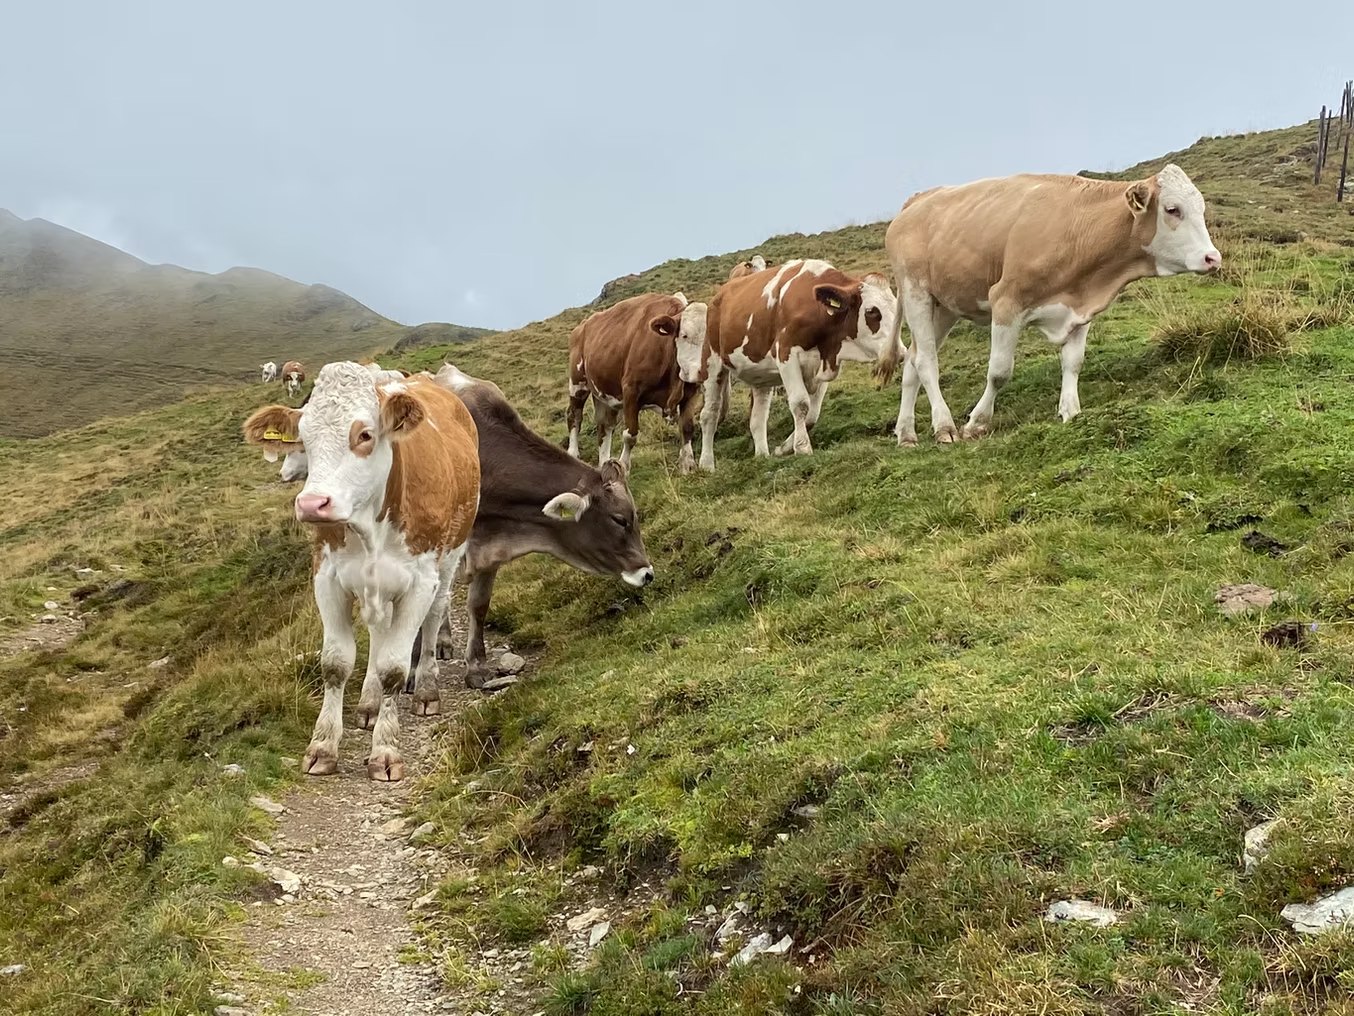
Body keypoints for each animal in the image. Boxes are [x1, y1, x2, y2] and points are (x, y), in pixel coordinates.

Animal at [243, 362, 480, 782]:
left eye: (365, 434)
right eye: (303, 439)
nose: (312, 504)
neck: (368, 526)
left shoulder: (420, 581)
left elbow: (394, 667)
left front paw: (385, 751)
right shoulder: (327, 577)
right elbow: (335, 663)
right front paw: (323, 747)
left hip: (450, 557)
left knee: (435, 615)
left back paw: (426, 690)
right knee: (378, 630)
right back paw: (369, 704)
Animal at [408, 363, 655, 686]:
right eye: (619, 519)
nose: (647, 574)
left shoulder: (491, 546)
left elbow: (479, 604)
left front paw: (476, 666)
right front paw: (412, 669)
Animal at [566, 291, 708, 474]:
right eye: (685, 335)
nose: (703, 370)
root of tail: (582, 325)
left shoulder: (690, 392)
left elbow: (687, 427)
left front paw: (687, 466)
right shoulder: (631, 391)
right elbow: (630, 434)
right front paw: (624, 466)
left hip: (604, 393)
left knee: (604, 426)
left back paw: (604, 463)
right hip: (578, 382)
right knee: (574, 416)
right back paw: (573, 452)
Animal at [682, 259, 897, 472]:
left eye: (897, 308)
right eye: (872, 311)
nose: (899, 352)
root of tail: (720, 294)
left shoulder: (825, 365)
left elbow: (812, 414)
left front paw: (783, 448)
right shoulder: (786, 355)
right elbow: (800, 404)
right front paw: (802, 447)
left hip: (761, 378)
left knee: (758, 418)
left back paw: (762, 456)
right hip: (713, 363)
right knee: (709, 413)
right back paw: (706, 463)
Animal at [877, 164, 1221, 446]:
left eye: (1201, 208)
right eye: (1172, 209)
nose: (1212, 257)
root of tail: (916, 201)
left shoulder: (1080, 309)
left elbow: (1073, 363)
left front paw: (1071, 411)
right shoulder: (1006, 301)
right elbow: (999, 372)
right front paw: (977, 423)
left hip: (944, 306)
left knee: (913, 362)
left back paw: (906, 433)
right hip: (915, 292)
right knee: (926, 362)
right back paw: (943, 425)